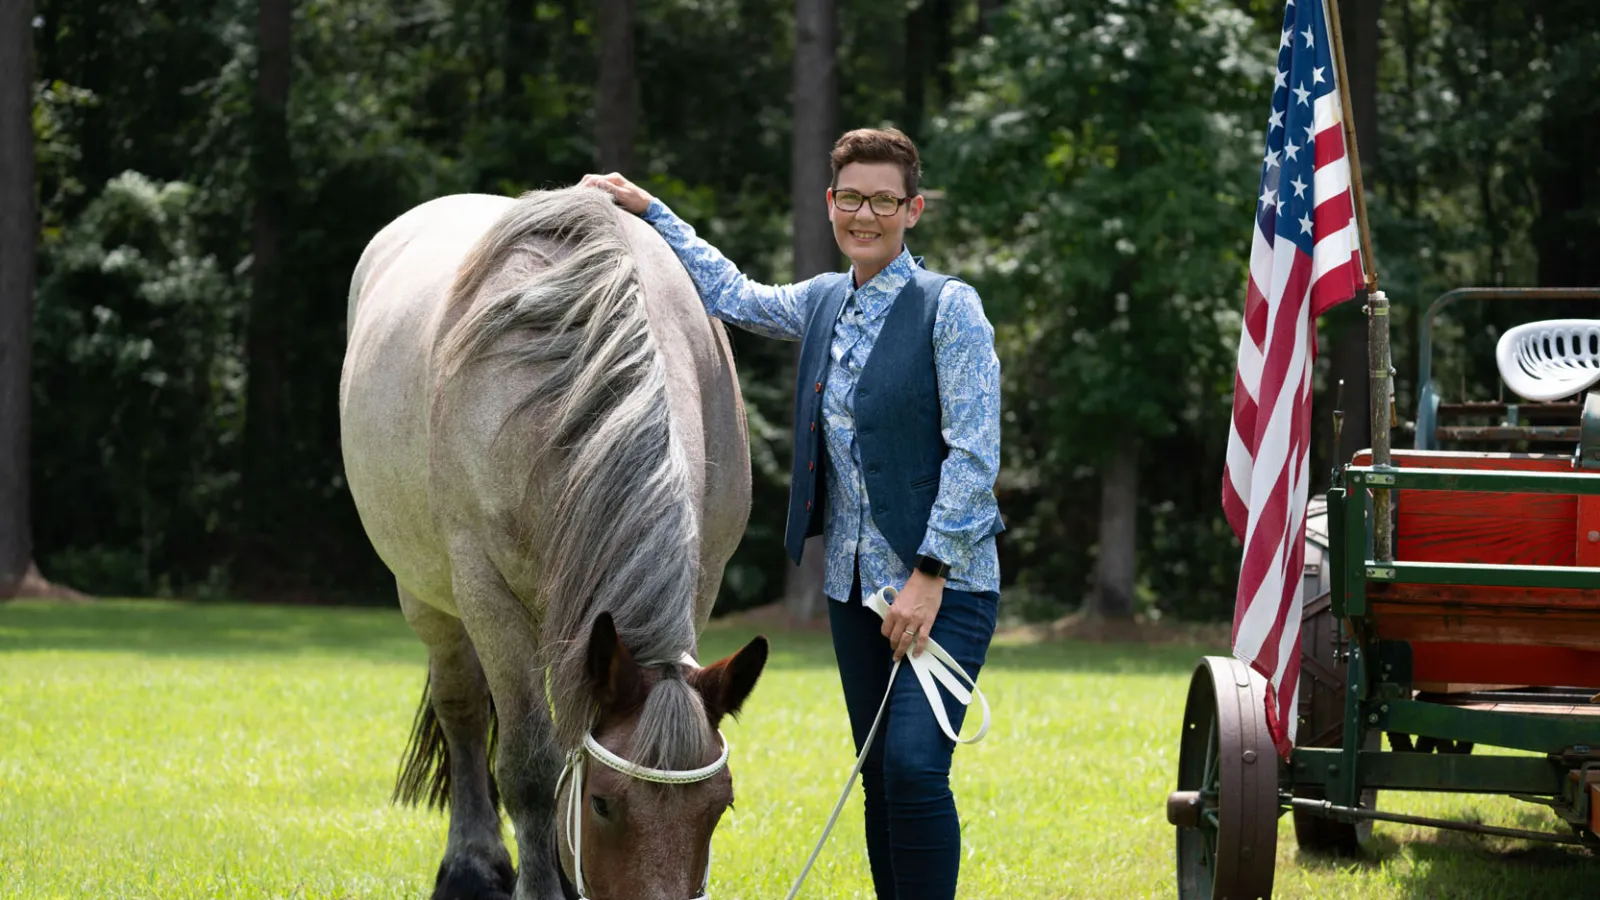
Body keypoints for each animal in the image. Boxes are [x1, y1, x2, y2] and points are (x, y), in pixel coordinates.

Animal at [337, 184, 768, 896]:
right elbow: (531, 769)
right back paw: (471, 866)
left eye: (721, 804)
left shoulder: (699, 581)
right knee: (462, 711)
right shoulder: (485, 591)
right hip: (430, 600)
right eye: (603, 804)